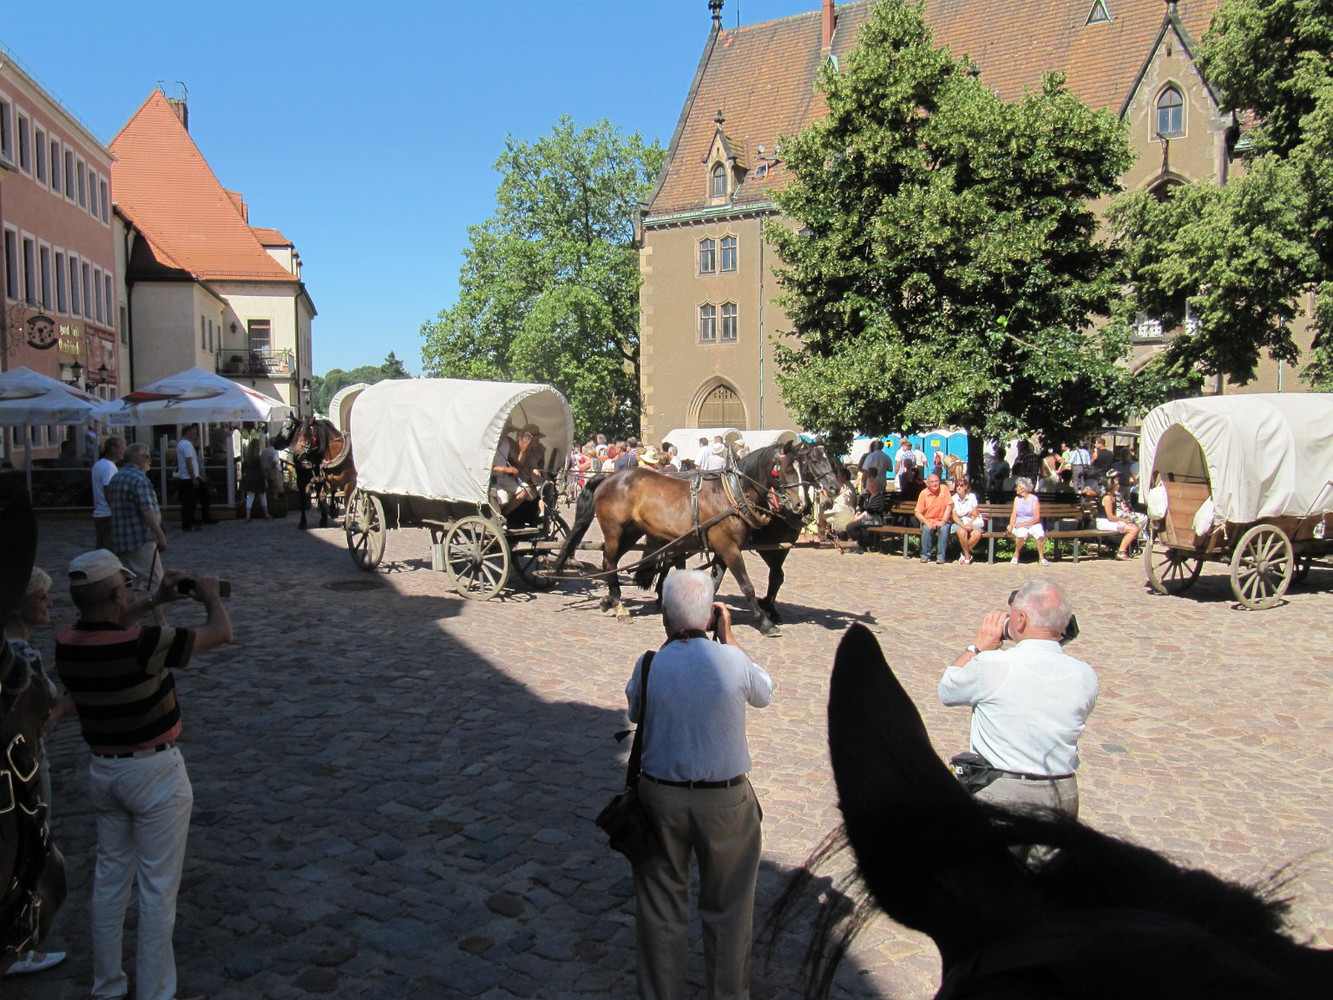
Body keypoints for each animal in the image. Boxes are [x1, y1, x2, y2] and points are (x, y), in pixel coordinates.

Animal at [552, 443, 807, 636]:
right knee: (610, 562)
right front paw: (765, 623)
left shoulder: (723, 549)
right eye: (783, 469)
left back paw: (609, 600)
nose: (799, 505)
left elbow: (714, 583)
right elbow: (747, 586)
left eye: (802, 468)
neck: (731, 495)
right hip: (614, 530)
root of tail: (608, 478)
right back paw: (620, 605)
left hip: (631, 533)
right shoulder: (729, 548)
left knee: (609, 562)